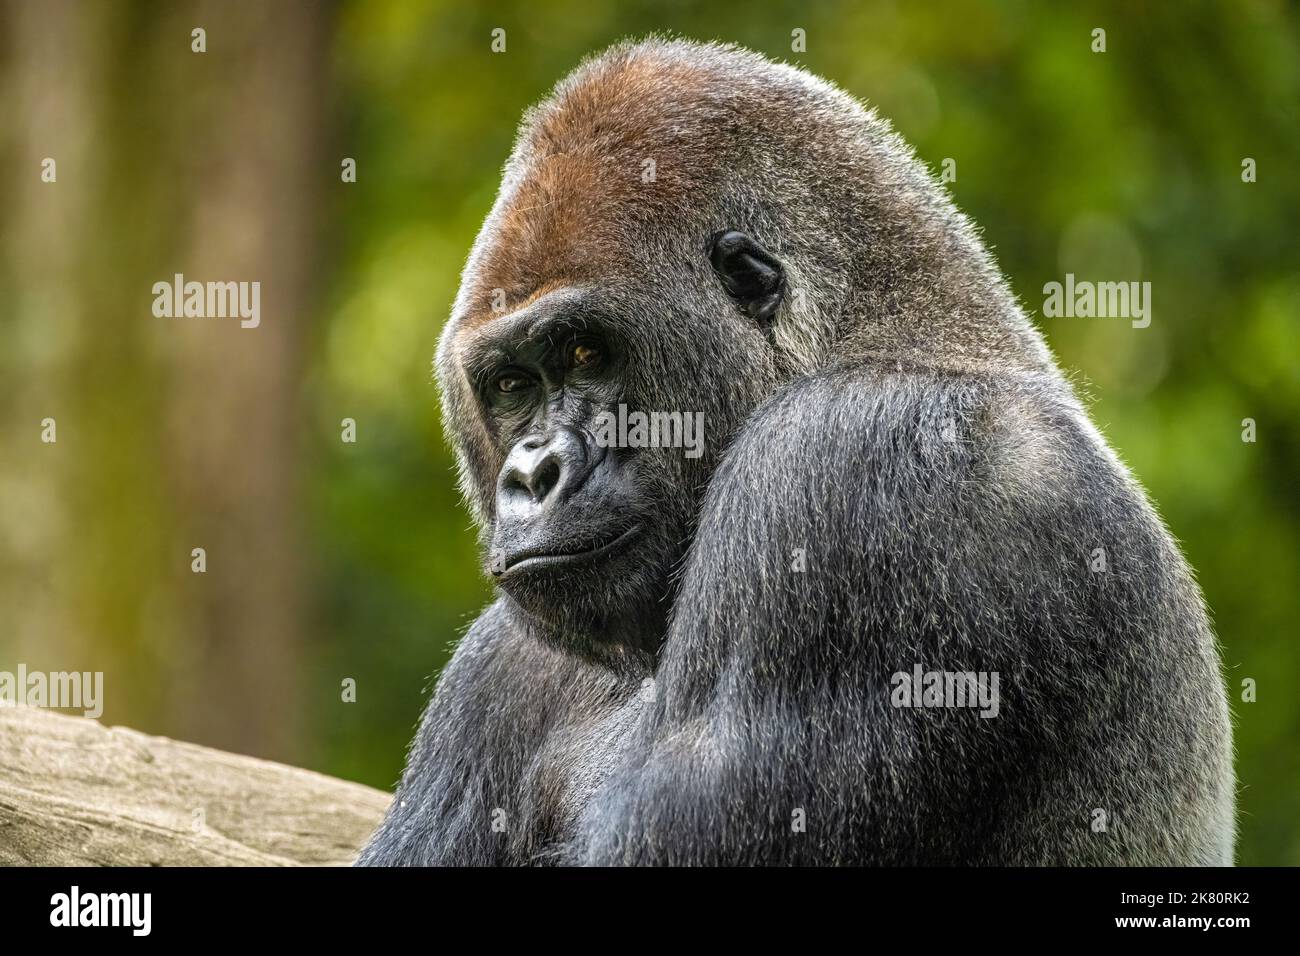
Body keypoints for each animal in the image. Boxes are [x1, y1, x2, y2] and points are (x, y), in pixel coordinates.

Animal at [357, 38, 1235, 866]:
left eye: (583, 353)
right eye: (511, 386)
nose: (533, 474)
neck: (884, 330)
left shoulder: (839, 469)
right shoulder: (493, 669)